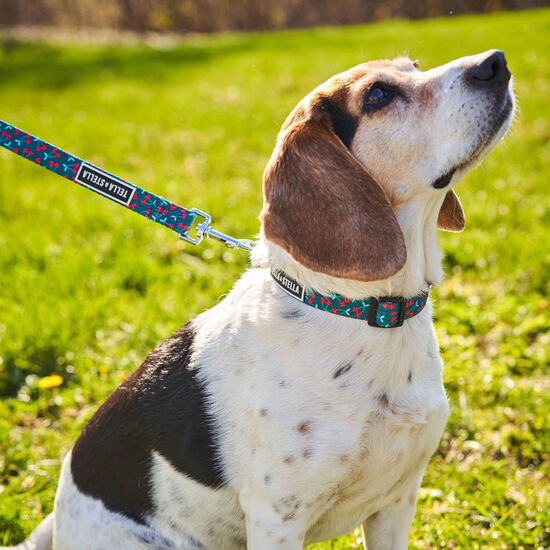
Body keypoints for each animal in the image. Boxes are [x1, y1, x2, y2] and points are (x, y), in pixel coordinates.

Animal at [7, 49, 516, 548]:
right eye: (377, 95)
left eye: (414, 67)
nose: (496, 62)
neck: (361, 311)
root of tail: (59, 517)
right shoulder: (278, 518)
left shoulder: (396, 500)